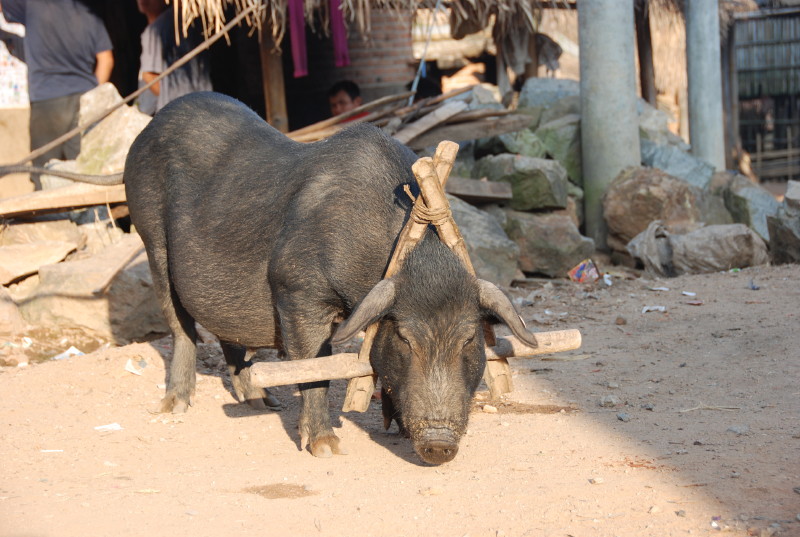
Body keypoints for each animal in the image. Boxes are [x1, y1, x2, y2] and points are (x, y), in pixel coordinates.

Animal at [125, 93, 536, 464]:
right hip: (149, 235)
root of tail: (153, 123)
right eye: (405, 339)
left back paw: (264, 403)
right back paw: (176, 406)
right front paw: (326, 448)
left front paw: (397, 430)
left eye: (469, 340)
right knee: (180, 325)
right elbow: (313, 366)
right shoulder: (297, 290)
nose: (439, 445)